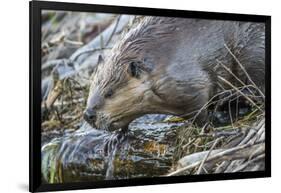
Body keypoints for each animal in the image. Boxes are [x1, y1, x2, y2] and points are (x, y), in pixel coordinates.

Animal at [82, 16, 264, 131]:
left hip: (251, 52)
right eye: (91, 90)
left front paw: (210, 126)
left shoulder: (186, 80)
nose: (88, 115)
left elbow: (199, 106)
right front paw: (117, 138)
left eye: (109, 93)